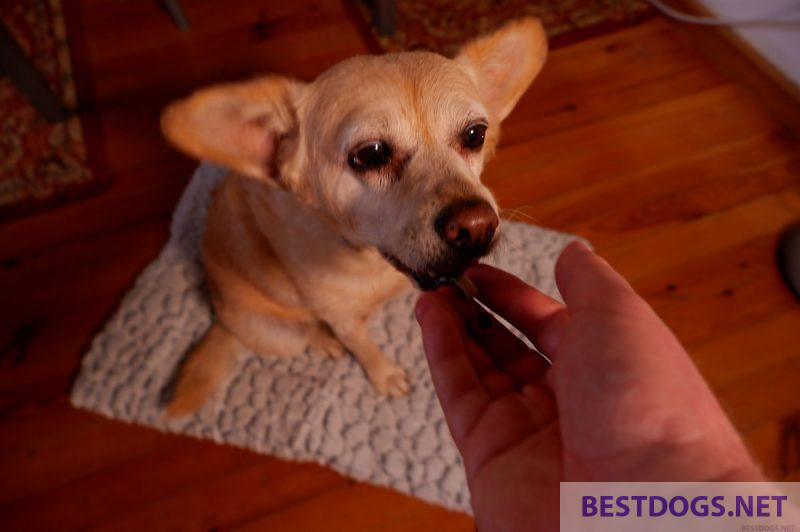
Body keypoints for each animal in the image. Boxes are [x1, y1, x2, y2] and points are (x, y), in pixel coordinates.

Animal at [162, 16, 552, 416]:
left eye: (475, 134)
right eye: (371, 155)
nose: (476, 226)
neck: (371, 259)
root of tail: (220, 317)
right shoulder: (344, 321)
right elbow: (364, 347)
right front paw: (384, 375)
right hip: (281, 332)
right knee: (307, 333)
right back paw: (324, 342)